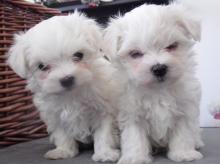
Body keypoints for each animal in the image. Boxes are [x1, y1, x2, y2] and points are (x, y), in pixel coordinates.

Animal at [7, 12, 118, 162]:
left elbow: (104, 133)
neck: (72, 94)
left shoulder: (104, 109)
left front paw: (105, 153)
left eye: (78, 55)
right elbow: (62, 134)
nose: (66, 79)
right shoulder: (54, 114)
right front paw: (63, 151)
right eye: (42, 66)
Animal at [105, 3, 205, 163]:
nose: (159, 68)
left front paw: (183, 154)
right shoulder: (132, 113)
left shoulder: (185, 108)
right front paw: (135, 157)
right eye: (135, 54)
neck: (158, 89)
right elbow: (134, 138)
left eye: (171, 46)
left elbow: (183, 133)